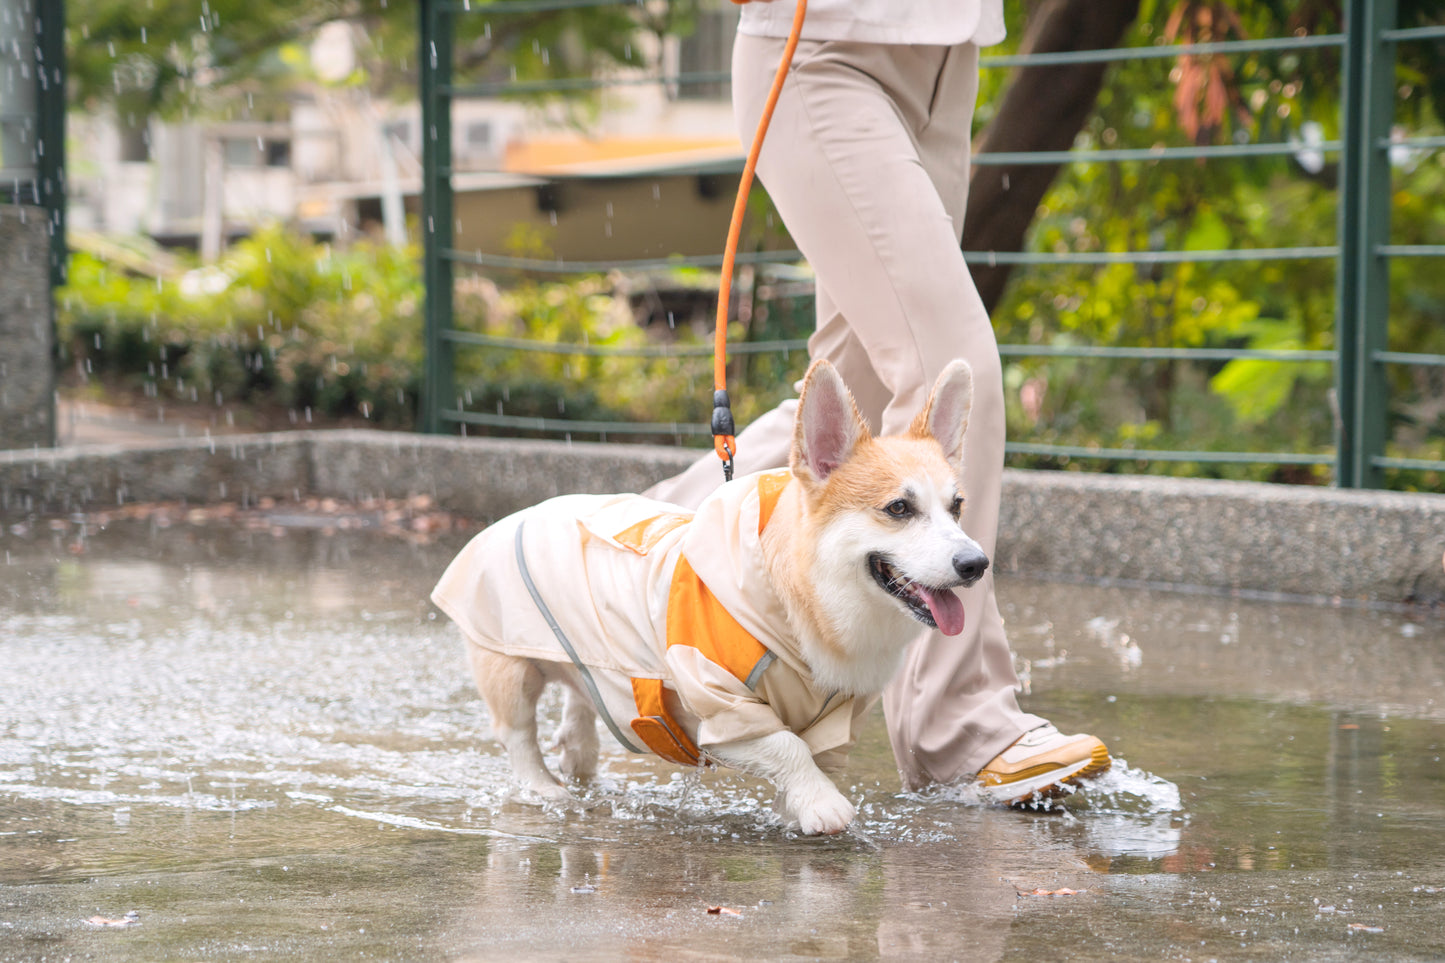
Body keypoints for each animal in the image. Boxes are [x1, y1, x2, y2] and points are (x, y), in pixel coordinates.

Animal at [433, 360, 988, 832]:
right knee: (517, 734)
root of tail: (521, 513)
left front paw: (796, 810)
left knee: (581, 691)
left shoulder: (831, 722)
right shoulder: (723, 709)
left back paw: (580, 757)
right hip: (507, 666)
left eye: (957, 506)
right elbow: (787, 746)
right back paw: (545, 790)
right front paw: (823, 806)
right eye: (898, 508)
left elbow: (810, 755)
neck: (804, 602)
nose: (976, 565)